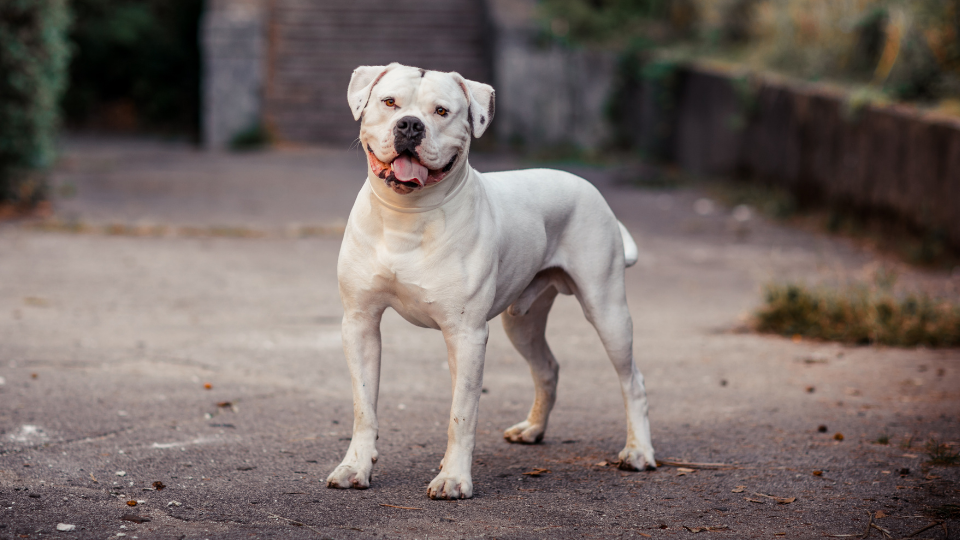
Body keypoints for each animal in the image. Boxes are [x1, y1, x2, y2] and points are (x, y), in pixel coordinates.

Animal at [326, 64, 656, 502]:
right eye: (389, 102)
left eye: (442, 111)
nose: (410, 125)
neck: (406, 217)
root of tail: (588, 186)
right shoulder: (360, 323)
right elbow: (364, 406)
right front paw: (355, 467)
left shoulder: (466, 334)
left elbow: (461, 413)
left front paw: (453, 478)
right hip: (522, 321)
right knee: (547, 367)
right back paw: (533, 429)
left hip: (607, 310)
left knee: (631, 380)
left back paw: (639, 451)